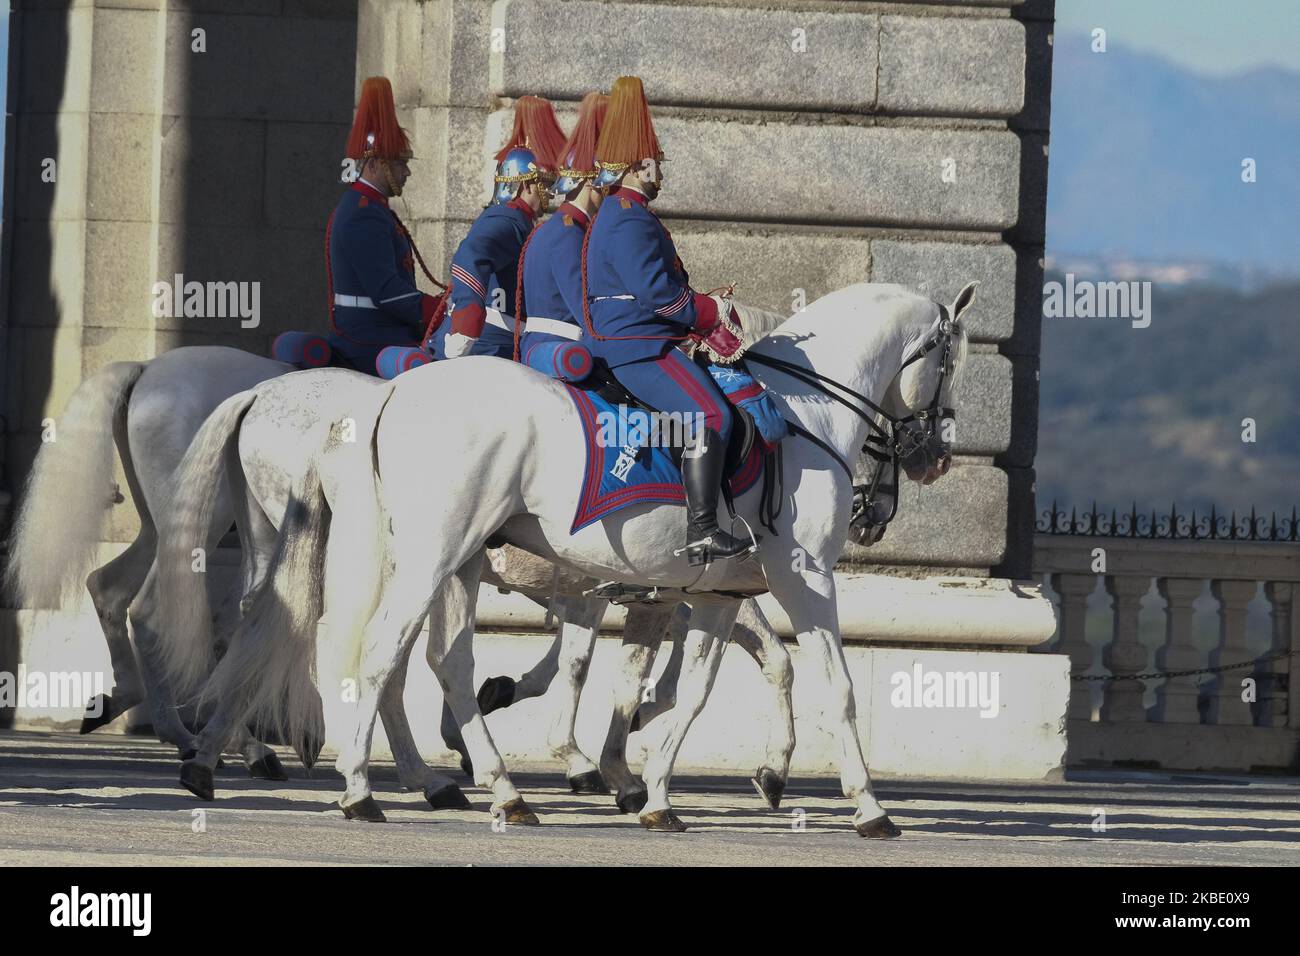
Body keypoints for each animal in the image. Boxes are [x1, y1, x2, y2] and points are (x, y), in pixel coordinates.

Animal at [170, 280, 967, 832]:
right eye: (952, 359)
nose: (930, 459)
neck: (801, 411)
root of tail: (385, 396)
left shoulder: (709, 594)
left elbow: (682, 690)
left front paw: (652, 791)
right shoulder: (798, 579)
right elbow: (827, 683)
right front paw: (865, 805)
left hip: (450, 561)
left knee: (433, 660)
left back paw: (488, 785)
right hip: (427, 555)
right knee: (371, 651)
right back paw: (357, 786)